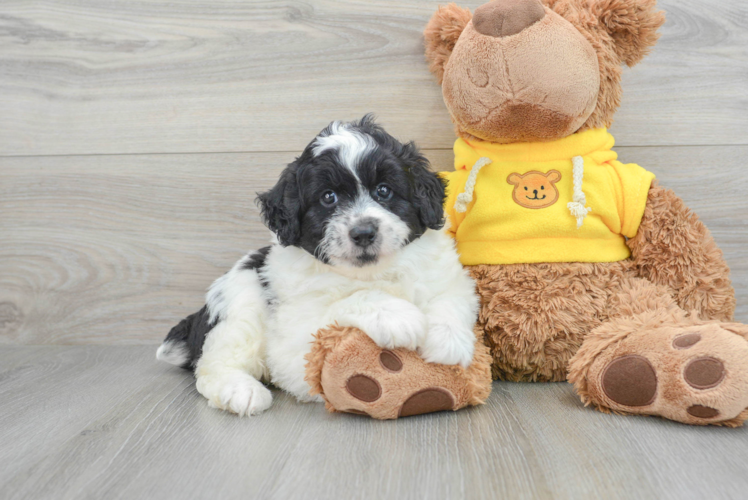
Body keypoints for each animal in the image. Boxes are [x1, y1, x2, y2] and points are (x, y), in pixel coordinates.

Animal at [156, 115, 480, 416]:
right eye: (328, 197)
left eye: (384, 191)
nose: (363, 232)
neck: (372, 272)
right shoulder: (296, 336)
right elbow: (344, 303)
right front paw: (396, 315)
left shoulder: (451, 277)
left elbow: (450, 297)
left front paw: (448, 340)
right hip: (240, 307)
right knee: (214, 363)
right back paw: (241, 390)